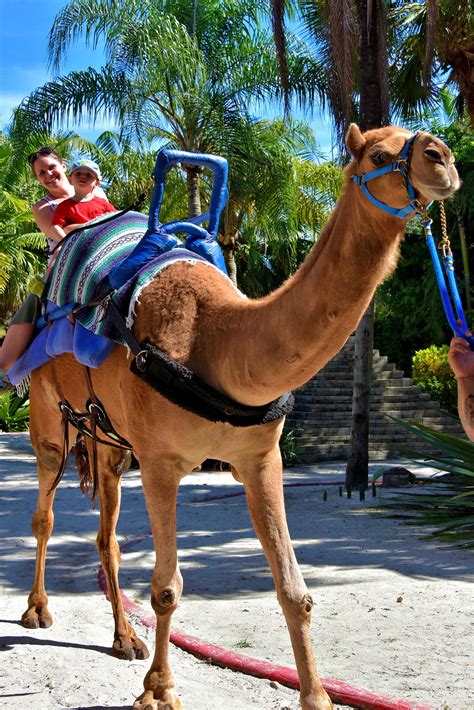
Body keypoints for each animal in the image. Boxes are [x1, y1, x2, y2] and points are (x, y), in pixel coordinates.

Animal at [21, 124, 459, 710]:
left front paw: (317, 697)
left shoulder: (260, 456)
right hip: (49, 412)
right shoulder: (162, 462)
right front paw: (159, 691)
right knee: (45, 512)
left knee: (106, 536)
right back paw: (38, 610)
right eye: (379, 154)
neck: (218, 340)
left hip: (110, 440)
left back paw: (125, 639)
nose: (443, 158)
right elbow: (166, 587)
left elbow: (294, 590)